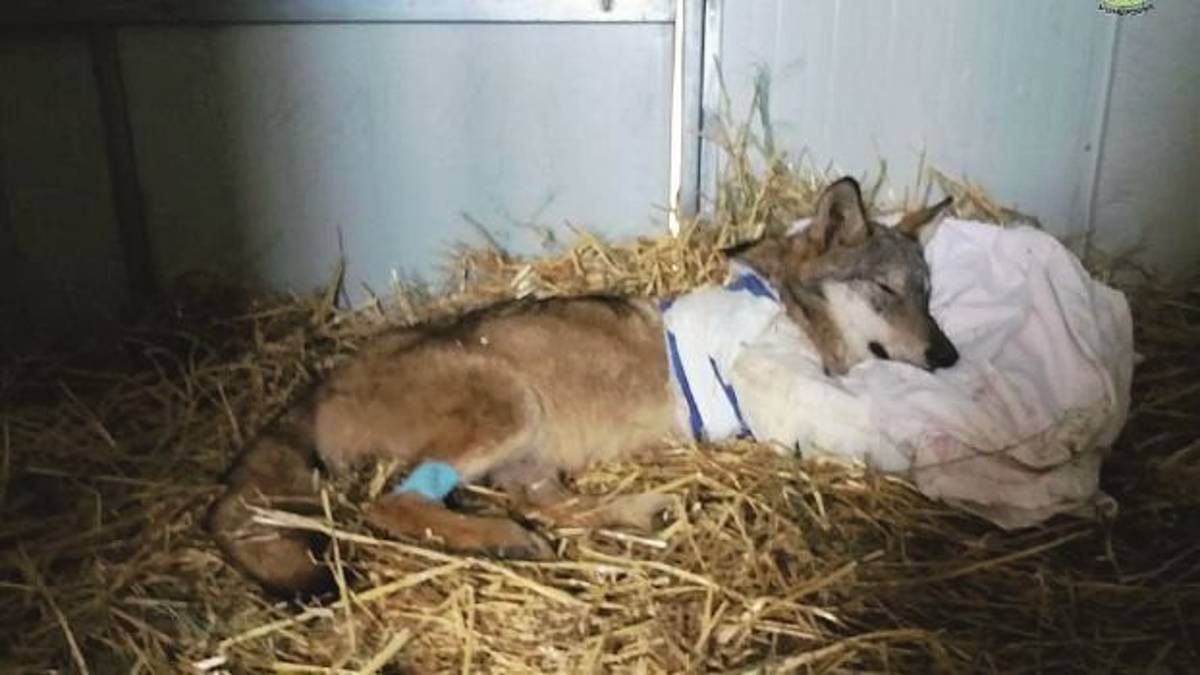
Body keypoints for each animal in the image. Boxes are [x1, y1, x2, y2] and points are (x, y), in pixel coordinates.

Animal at [207, 177, 958, 596]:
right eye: (887, 289)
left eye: (927, 292)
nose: (948, 355)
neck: (784, 299)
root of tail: (321, 380)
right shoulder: (779, 389)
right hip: (508, 405)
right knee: (391, 506)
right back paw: (501, 537)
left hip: (531, 456)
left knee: (555, 512)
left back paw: (631, 512)